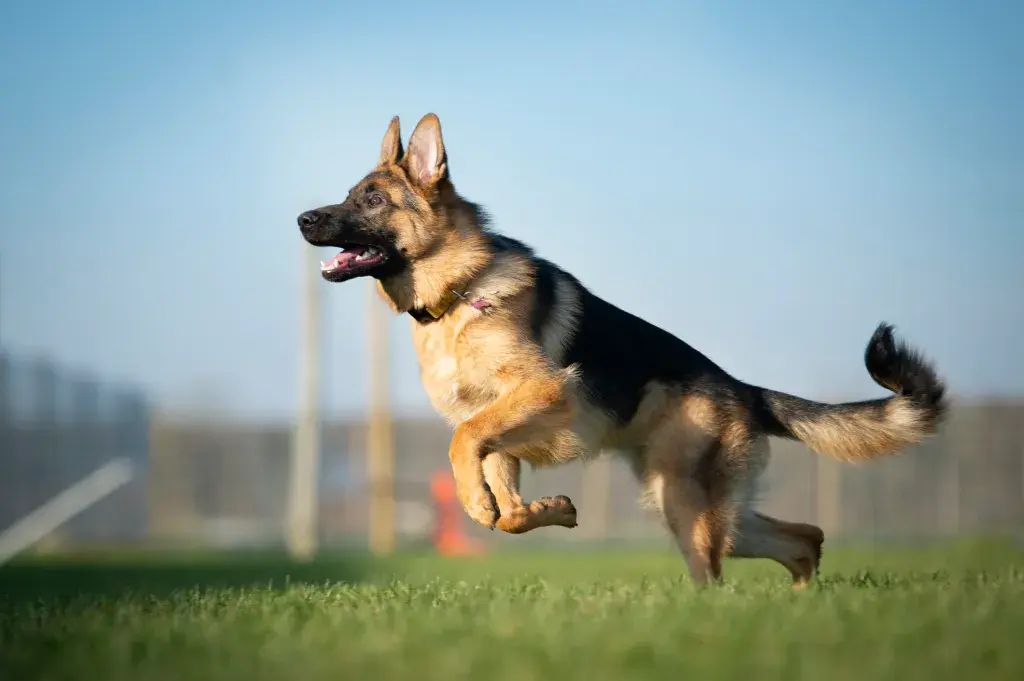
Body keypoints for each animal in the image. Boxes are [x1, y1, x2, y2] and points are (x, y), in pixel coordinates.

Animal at [296, 111, 942, 585]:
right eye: (350, 195)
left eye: (373, 201)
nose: (302, 218)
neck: (459, 293)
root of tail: (742, 389)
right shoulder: (498, 430)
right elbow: (507, 510)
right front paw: (541, 511)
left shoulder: (536, 392)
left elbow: (464, 447)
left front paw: (478, 503)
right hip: (698, 504)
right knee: (804, 539)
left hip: (687, 505)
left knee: (721, 572)